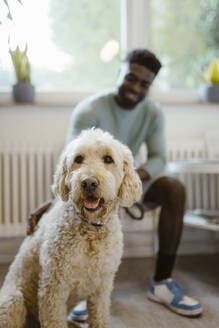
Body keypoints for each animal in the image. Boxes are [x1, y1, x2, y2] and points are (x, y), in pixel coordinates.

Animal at [0, 128, 142, 328]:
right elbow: (54, 320)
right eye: (78, 158)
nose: (89, 182)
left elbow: (100, 317)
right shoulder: (53, 289)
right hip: (13, 301)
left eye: (108, 159)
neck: (90, 230)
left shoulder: (101, 289)